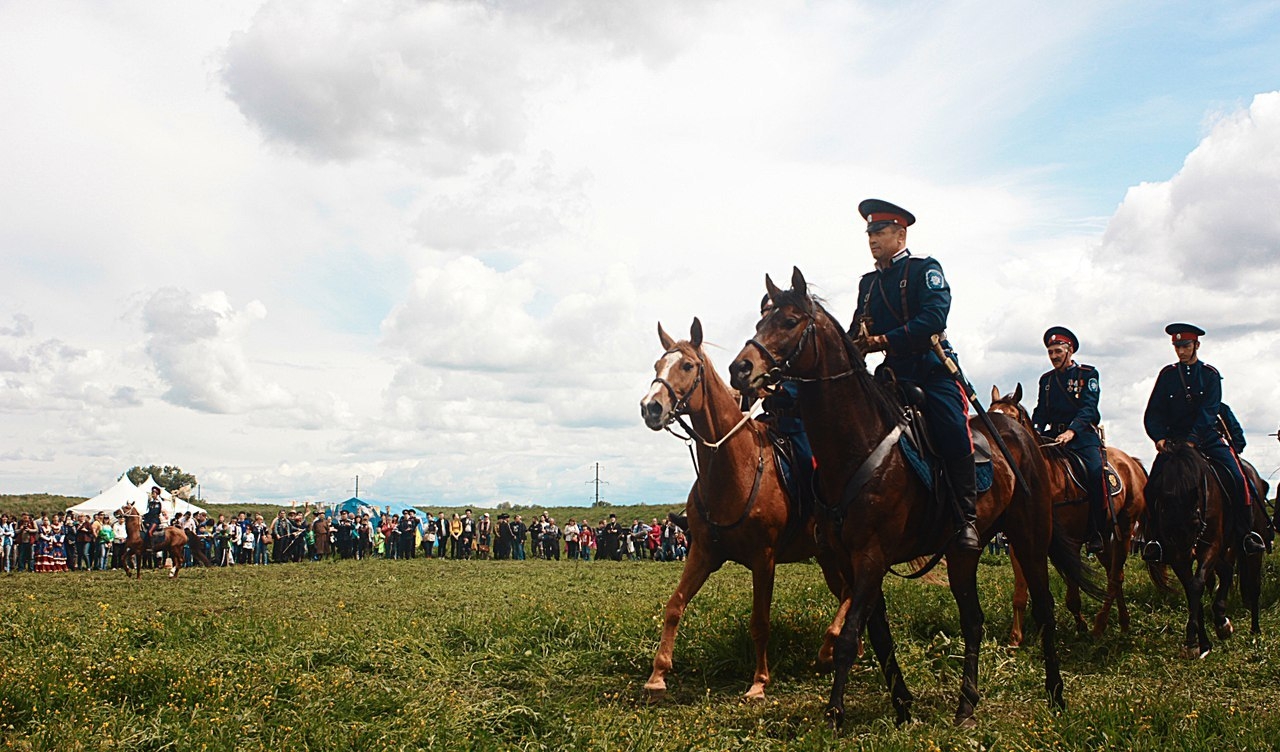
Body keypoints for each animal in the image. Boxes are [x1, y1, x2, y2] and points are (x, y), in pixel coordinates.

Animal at [640, 317, 849, 700]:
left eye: (687, 366)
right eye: (657, 365)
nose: (651, 407)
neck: (735, 464)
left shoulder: (763, 558)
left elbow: (760, 621)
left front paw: (759, 682)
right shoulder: (703, 553)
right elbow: (675, 605)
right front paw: (658, 674)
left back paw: (830, 648)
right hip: (827, 557)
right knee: (848, 591)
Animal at [732, 268, 1100, 726]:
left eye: (789, 321)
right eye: (759, 321)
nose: (739, 370)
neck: (856, 444)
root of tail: (1023, 436)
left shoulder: (872, 556)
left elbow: (852, 635)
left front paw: (835, 713)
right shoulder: (847, 559)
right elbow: (878, 635)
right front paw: (903, 706)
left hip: (1030, 538)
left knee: (1045, 608)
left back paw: (1055, 693)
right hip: (963, 553)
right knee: (972, 620)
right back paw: (966, 705)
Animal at [988, 383, 1152, 644]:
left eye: (1012, 421)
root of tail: (1132, 462)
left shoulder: (1072, 543)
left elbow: (1072, 593)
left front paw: (1080, 626)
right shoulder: (1018, 544)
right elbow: (1021, 593)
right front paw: (1016, 638)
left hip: (1125, 529)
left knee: (1115, 577)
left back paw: (1100, 626)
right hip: (1105, 537)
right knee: (1114, 572)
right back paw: (1124, 622)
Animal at [1146, 442, 1264, 654]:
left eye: (1195, 522)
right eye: (1165, 522)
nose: (1187, 552)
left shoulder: (1210, 547)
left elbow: (1196, 585)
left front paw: (1194, 639)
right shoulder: (1176, 555)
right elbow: (1193, 591)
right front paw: (1203, 643)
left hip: (1249, 550)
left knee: (1254, 585)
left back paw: (1254, 630)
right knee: (1226, 572)